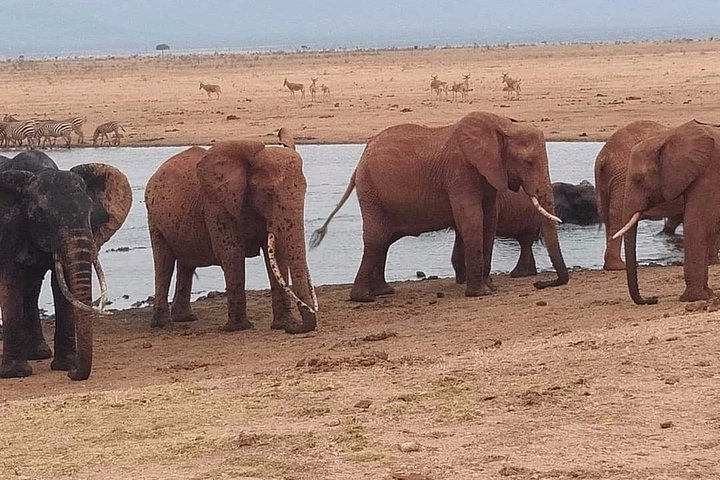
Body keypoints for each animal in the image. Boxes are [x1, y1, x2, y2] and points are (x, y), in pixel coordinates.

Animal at [0, 150, 132, 378]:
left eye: (91, 213)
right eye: (44, 215)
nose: (72, 375)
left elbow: (63, 285)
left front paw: (67, 365)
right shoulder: (8, 226)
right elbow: (10, 282)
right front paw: (16, 373)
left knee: (31, 290)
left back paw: (40, 353)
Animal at [145, 129, 316, 336]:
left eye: (305, 191)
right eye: (269, 193)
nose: (295, 328)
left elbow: (276, 255)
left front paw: (283, 324)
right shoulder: (217, 207)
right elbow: (232, 253)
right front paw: (239, 328)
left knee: (186, 264)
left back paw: (185, 318)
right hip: (154, 219)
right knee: (164, 263)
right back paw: (162, 324)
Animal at [312, 112, 572, 300]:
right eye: (529, 162)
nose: (540, 284)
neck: (501, 124)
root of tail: (358, 165)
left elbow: (489, 218)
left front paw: (490, 288)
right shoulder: (459, 171)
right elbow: (472, 218)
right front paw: (480, 293)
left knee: (383, 241)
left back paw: (383, 292)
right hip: (371, 192)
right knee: (376, 240)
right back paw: (364, 298)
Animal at [612, 122, 720, 304]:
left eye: (639, 179)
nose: (652, 299)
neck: (666, 137)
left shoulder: (709, 174)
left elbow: (694, 224)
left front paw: (691, 299)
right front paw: (709, 294)